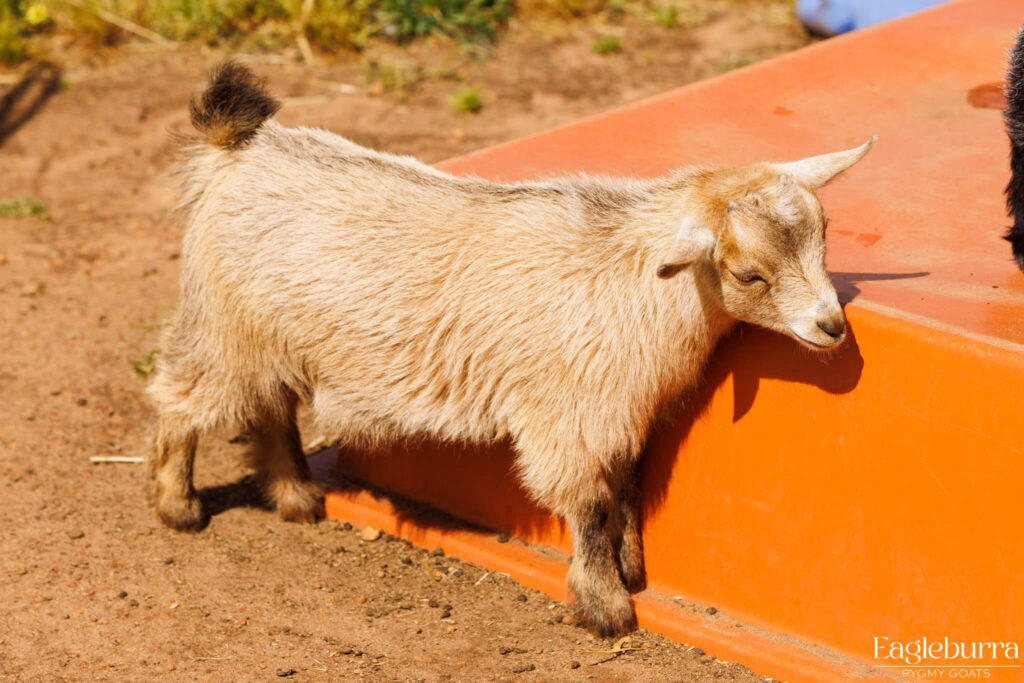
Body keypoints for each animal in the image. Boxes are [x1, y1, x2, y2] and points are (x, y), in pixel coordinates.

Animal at [147, 61, 874, 637]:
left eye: (824, 234)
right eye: (749, 274)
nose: (831, 327)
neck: (633, 281)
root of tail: (236, 150)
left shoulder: (616, 413)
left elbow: (625, 488)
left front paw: (632, 565)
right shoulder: (567, 418)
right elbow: (589, 504)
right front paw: (606, 605)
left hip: (267, 337)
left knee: (270, 407)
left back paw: (296, 496)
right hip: (222, 330)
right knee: (178, 402)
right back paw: (178, 506)